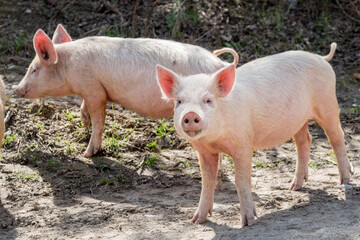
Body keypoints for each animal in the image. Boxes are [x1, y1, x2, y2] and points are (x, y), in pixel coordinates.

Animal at [14, 23, 238, 156]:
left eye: (34, 69)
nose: (16, 89)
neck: (69, 65)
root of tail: (222, 65)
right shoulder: (93, 90)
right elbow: (86, 109)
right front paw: (84, 122)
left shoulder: (94, 89)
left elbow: (99, 120)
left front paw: (87, 154)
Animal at [155, 43, 354, 227]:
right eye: (179, 101)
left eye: (208, 100)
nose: (190, 114)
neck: (215, 140)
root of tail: (321, 58)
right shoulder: (204, 151)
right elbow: (207, 181)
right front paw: (196, 220)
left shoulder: (244, 145)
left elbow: (241, 181)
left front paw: (248, 222)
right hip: (299, 120)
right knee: (305, 141)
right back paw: (294, 187)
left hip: (328, 104)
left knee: (337, 137)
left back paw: (344, 181)